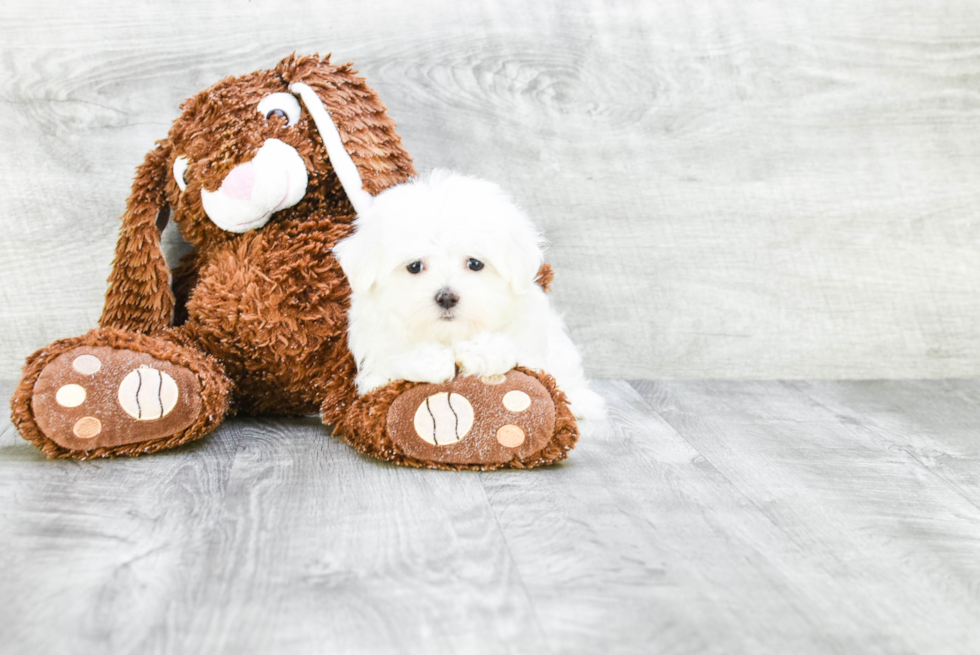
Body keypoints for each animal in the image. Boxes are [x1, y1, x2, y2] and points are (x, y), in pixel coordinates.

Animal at [334, 170, 604, 420]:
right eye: (414, 266)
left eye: (475, 264)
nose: (446, 297)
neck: (451, 337)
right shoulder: (375, 362)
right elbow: (393, 360)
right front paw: (429, 359)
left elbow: (516, 351)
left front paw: (481, 351)